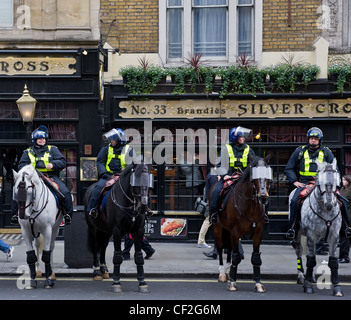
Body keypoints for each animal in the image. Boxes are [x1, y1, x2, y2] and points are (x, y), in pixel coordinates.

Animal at [85, 162, 154, 292]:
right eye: (135, 179)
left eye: (149, 180)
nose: (143, 207)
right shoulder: (117, 230)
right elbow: (117, 256)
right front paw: (116, 282)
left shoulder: (138, 230)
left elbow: (139, 257)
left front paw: (142, 282)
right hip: (93, 228)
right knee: (96, 247)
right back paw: (97, 272)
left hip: (106, 231)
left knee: (103, 246)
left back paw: (104, 269)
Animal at [210, 155, 274, 292]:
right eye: (254, 176)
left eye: (267, 174)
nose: (263, 197)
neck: (250, 206)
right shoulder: (235, 232)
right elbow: (236, 256)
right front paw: (233, 283)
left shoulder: (258, 233)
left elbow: (255, 258)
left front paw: (258, 283)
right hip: (218, 227)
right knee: (220, 247)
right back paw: (222, 273)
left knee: (228, 248)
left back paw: (228, 271)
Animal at [292, 160, 344, 298]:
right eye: (320, 182)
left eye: (337, 182)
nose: (329, 204)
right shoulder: (311, 235)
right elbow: (310, 260)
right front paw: (308, 286)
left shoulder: (334, 236)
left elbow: (333, 261)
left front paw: (337, 288)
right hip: (298, 233)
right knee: (299, 251)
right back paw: (301, 277)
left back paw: (311, 277)